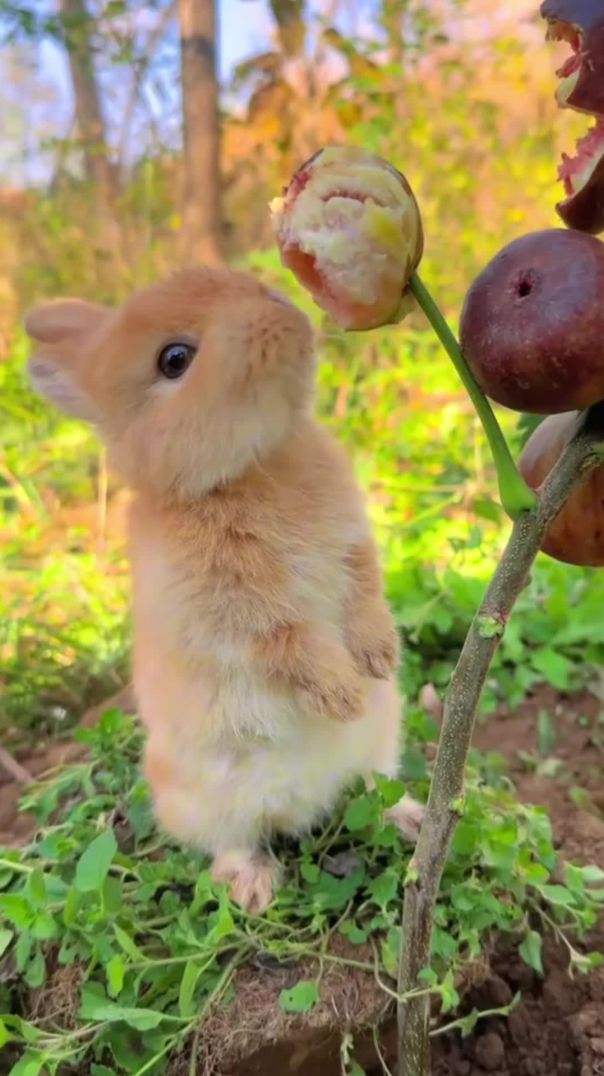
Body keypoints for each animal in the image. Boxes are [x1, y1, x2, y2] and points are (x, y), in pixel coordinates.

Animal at [25, 269, 424, 916]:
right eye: (174, 360)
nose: (285, 308)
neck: (247, 468)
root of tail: (303, 807)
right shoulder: (234, 609)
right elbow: (288, 642)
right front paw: (341, 694)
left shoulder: (353, 547)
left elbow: (363, 592)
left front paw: (379, 657)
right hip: (203, 799)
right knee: (232, 843)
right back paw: (252, 890)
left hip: (381, 743)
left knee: (373, 788)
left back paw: (410, 820)